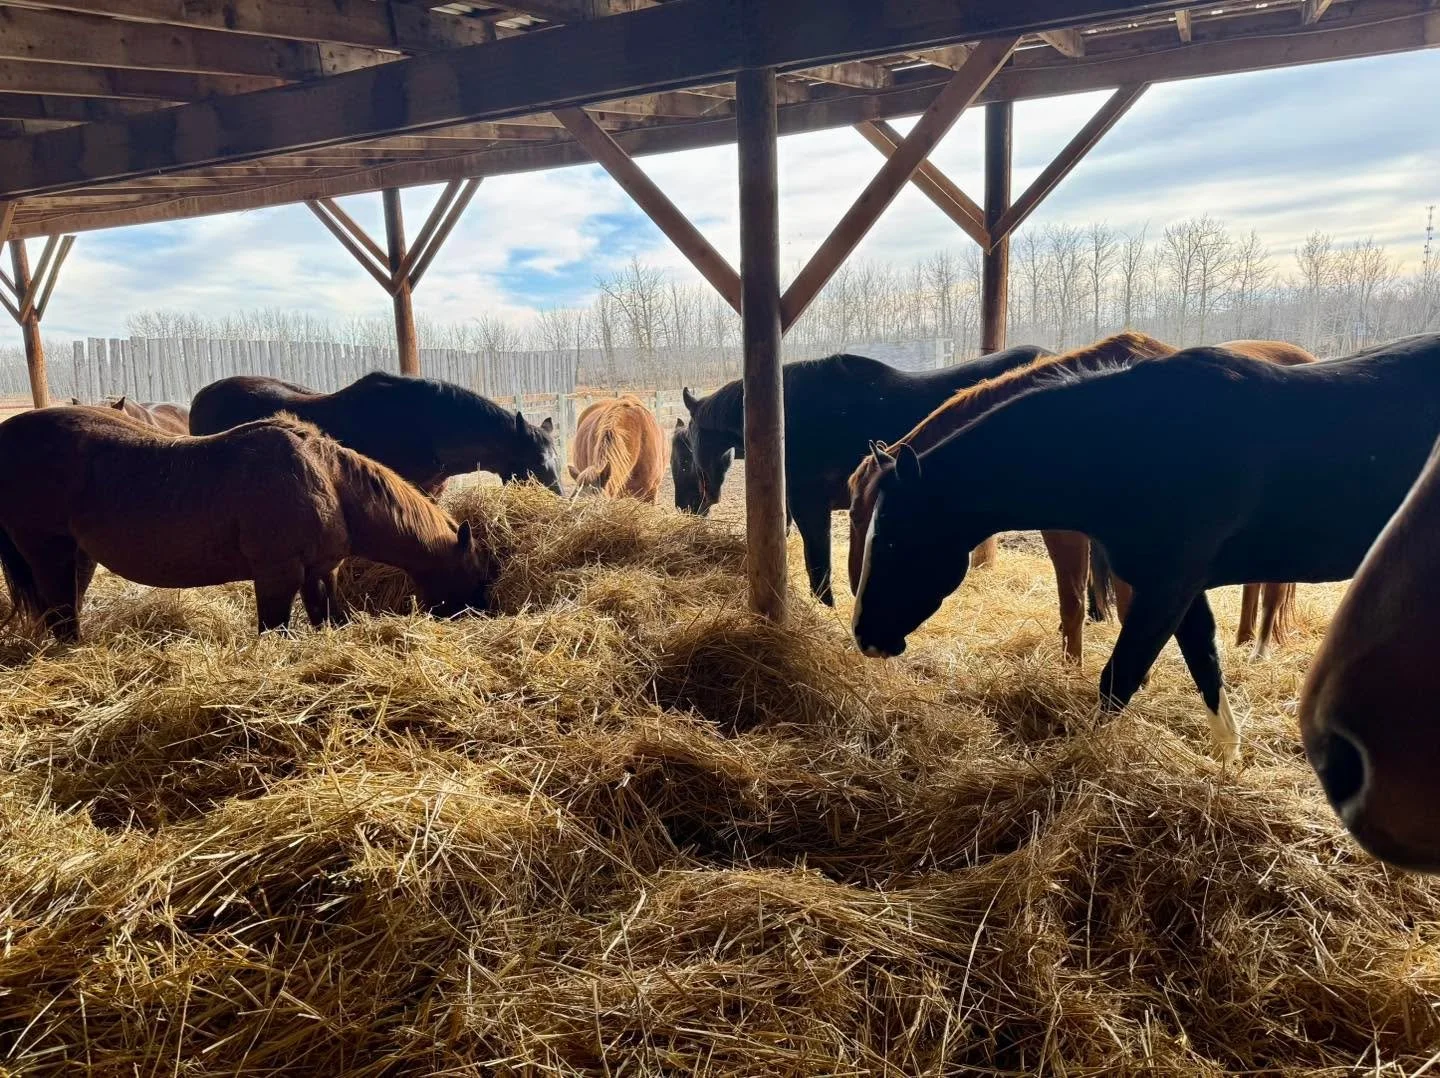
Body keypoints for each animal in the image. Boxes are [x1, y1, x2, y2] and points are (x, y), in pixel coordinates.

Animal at [0, 407, 490, 641]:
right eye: (474, 574)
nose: (479, 616)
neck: (328, 481)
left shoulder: (319, 572)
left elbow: (330, 618)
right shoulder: (277, 575)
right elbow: (275, 630)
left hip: (78, 556)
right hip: (47, 551)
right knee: (59, 614)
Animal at [847, 332, 1319, 662]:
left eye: (866, 518)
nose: (854, 590)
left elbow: (1102, 605)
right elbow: (1073, 603)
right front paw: (1070, 667)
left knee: (1274, 590)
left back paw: (1259, 651)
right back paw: (1243, 640)